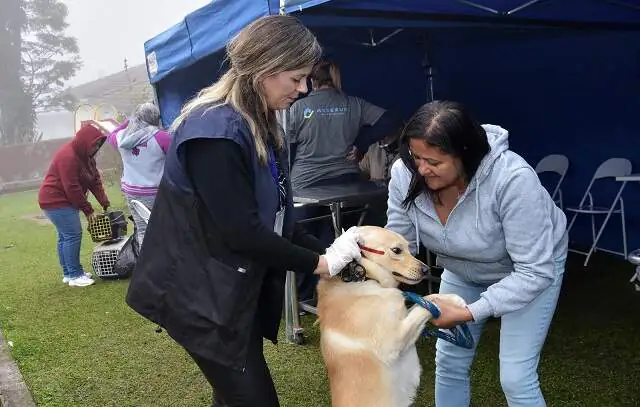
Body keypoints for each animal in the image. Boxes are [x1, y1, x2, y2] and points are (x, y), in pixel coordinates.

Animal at [318, 226, 468, 407]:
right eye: (396, 250)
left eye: (409, 248)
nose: (427, 270)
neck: (363, 278)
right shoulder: (392, 343)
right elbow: (424, 305)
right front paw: (450, 303)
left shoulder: (402, 319)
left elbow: (424, 301)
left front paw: (450, 298)